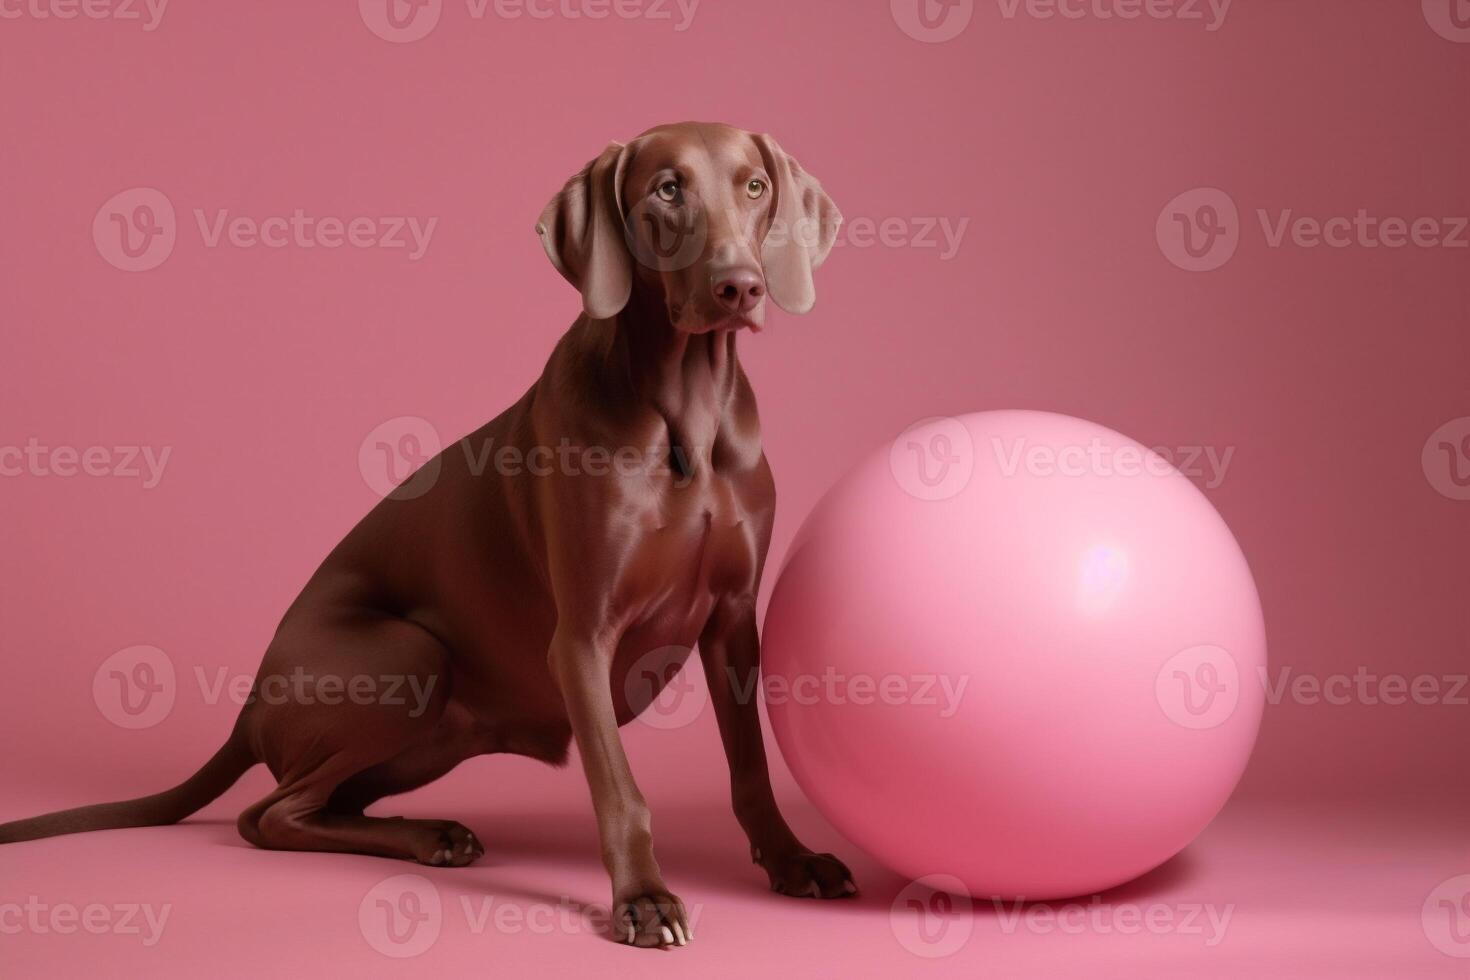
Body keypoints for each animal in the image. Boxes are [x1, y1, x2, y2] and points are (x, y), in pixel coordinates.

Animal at [0, 120, 858, 952]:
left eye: (755, 186)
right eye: (667, 189)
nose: (739, 285)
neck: (686, 412)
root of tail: (246, 706)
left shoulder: (734, 622)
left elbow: (752, 768)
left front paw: (792, 859)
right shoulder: (582, 639)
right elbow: (621, 788)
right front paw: (643, 900)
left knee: (317, 803)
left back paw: (429, 832)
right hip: (408, 657)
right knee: (265, 815)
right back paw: (424, 835)